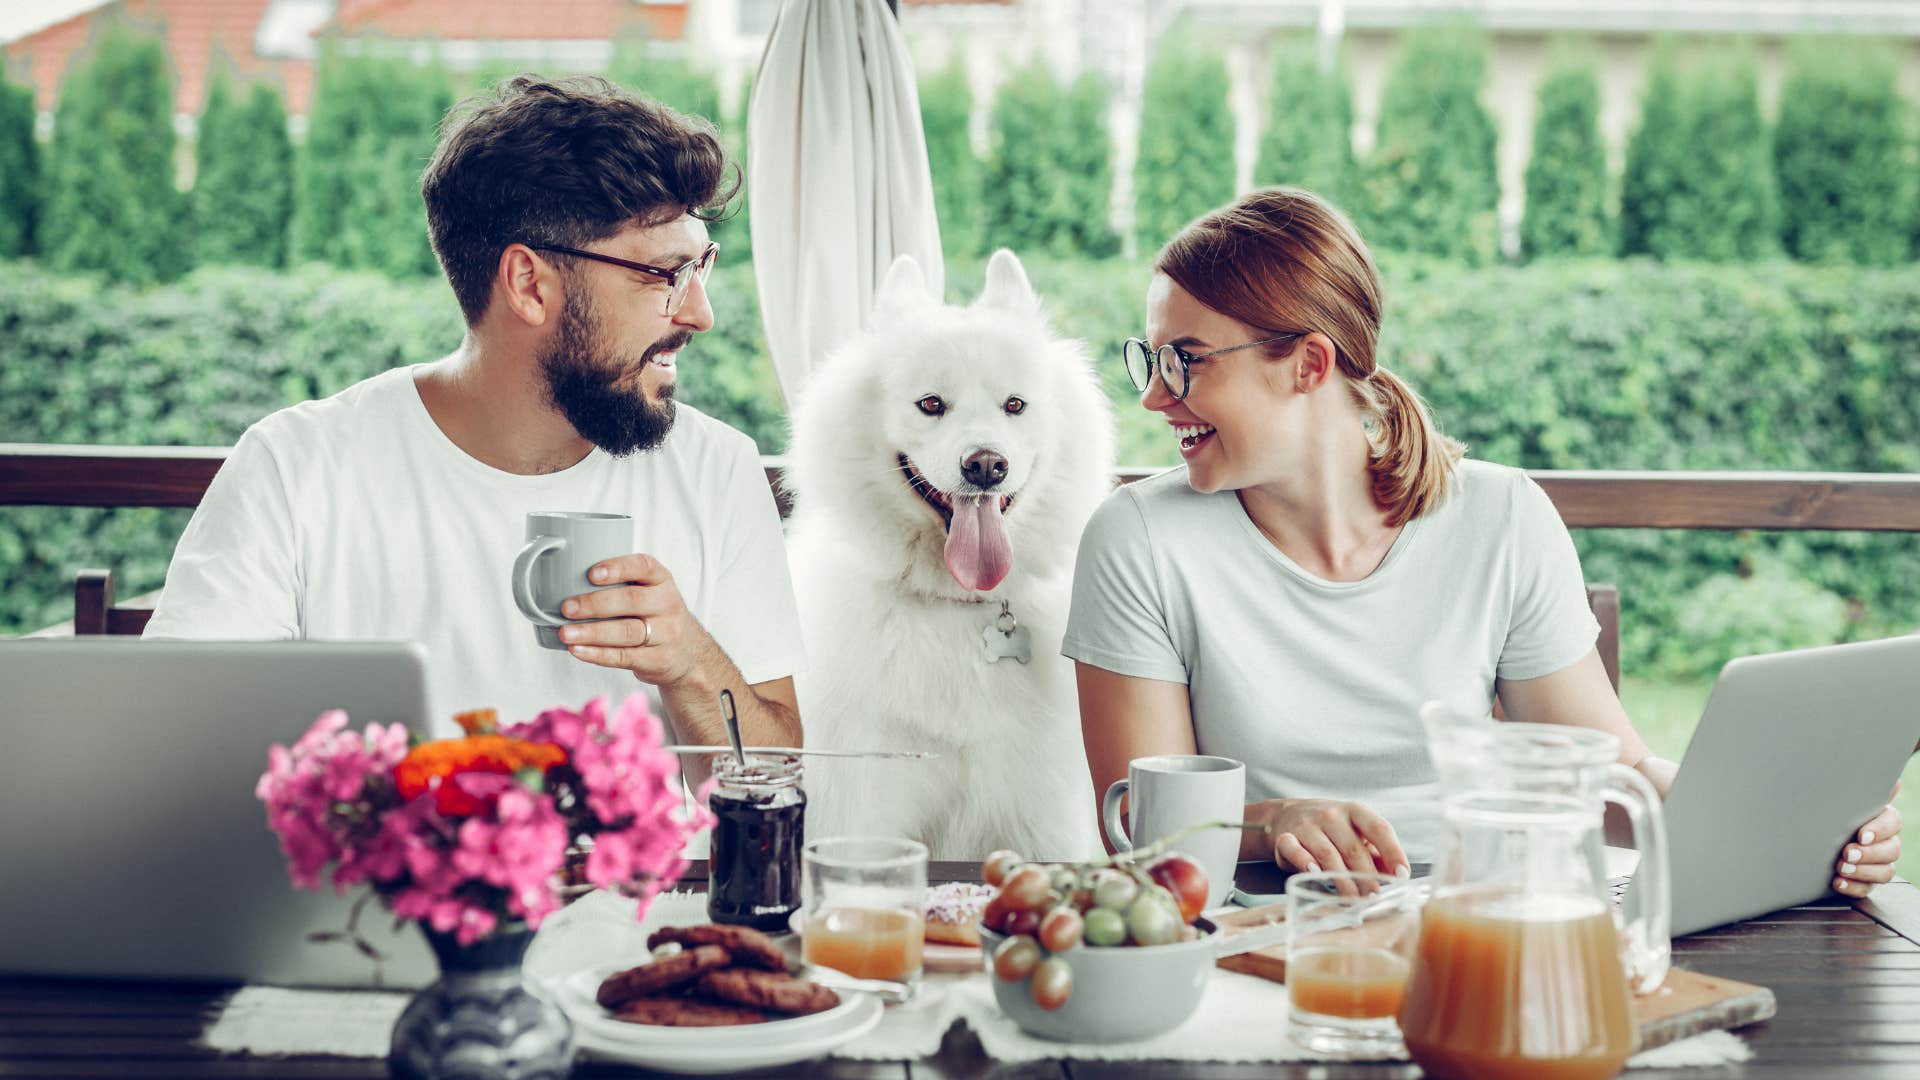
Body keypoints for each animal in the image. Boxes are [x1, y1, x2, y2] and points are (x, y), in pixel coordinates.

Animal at [787, 249, 1121, 857]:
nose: (986, 465)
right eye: (930, 404)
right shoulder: (858, 805)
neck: (954, 606)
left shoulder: (1041, 819)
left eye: (1014, 404)